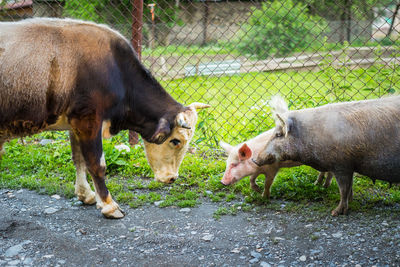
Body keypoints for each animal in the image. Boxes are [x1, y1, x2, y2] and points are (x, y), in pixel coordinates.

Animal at [255, 95, 400, 217]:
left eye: (278, 134)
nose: (255, 159)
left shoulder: (342, 165)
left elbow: (343, 189)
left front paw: (335, 213)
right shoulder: (349, 165)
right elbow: (349, 188)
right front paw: (351, 202)